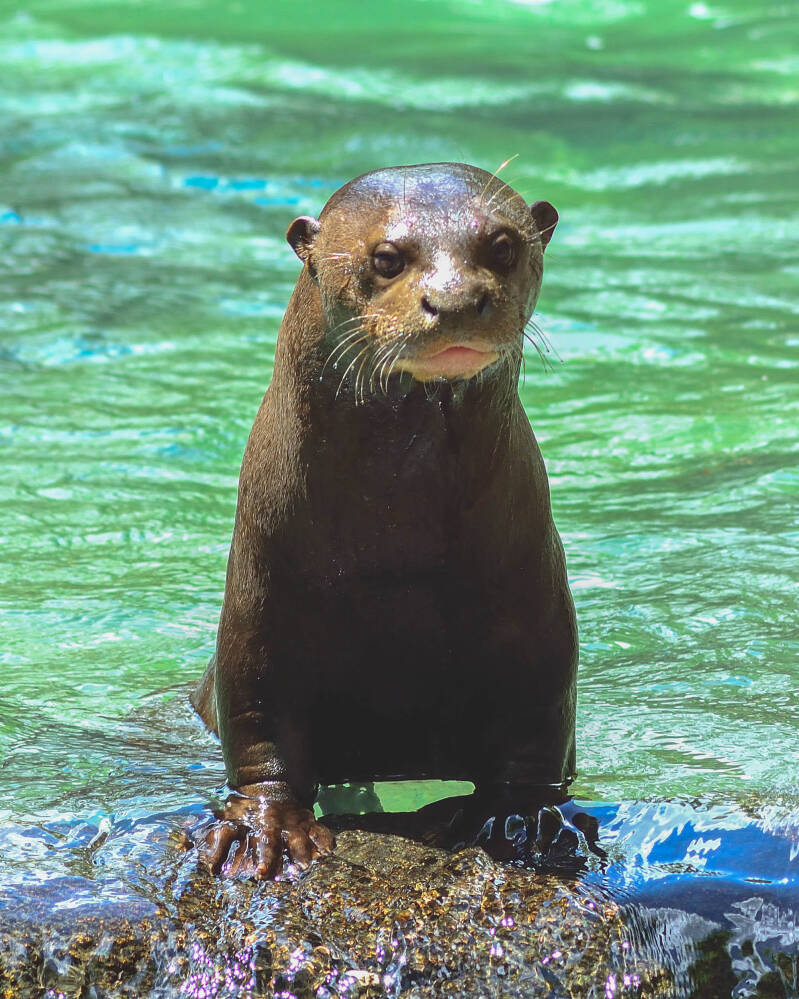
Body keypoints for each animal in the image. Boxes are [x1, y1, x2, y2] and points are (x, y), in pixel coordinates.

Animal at [188, 162, 577, 878]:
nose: (454, 301)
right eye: (387, 258)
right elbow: (259, 725)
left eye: (502, 245)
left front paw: (523, 817)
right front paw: (263, 828)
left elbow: (537, 725)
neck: (399, 557)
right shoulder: (260, 599)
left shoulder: (536, 608)